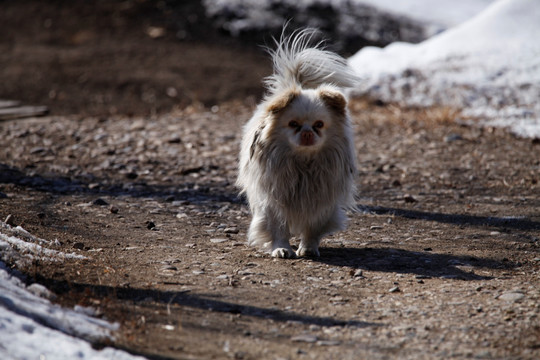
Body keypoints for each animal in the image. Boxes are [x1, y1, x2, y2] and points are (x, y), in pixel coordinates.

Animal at [236, 28, 358, 258]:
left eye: (319, 125)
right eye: (293, 124)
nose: (307, 132)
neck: (303, 163)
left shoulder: (321, 203)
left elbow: (313, 228)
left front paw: (308, 248)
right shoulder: (271, 201)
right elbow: (277, 228)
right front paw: (282, 249)